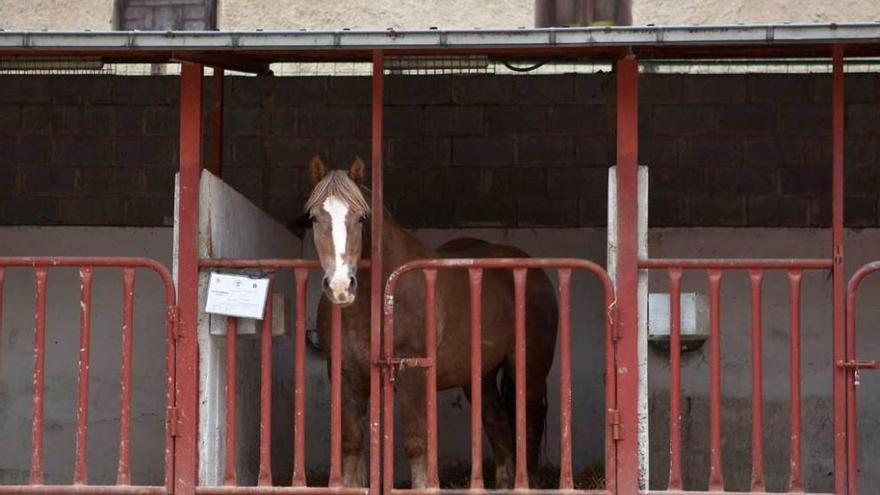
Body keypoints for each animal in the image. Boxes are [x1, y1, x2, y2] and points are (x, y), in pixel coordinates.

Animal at [306, 157, 560, 490]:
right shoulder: (345, 374)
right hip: (481, 375)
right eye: (314, 217)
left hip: (528, 368)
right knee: (498, 424)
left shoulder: (412, 371)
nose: (340, 286)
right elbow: (351, 442)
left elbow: (416, 443)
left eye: (362, 218)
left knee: (529, 423)